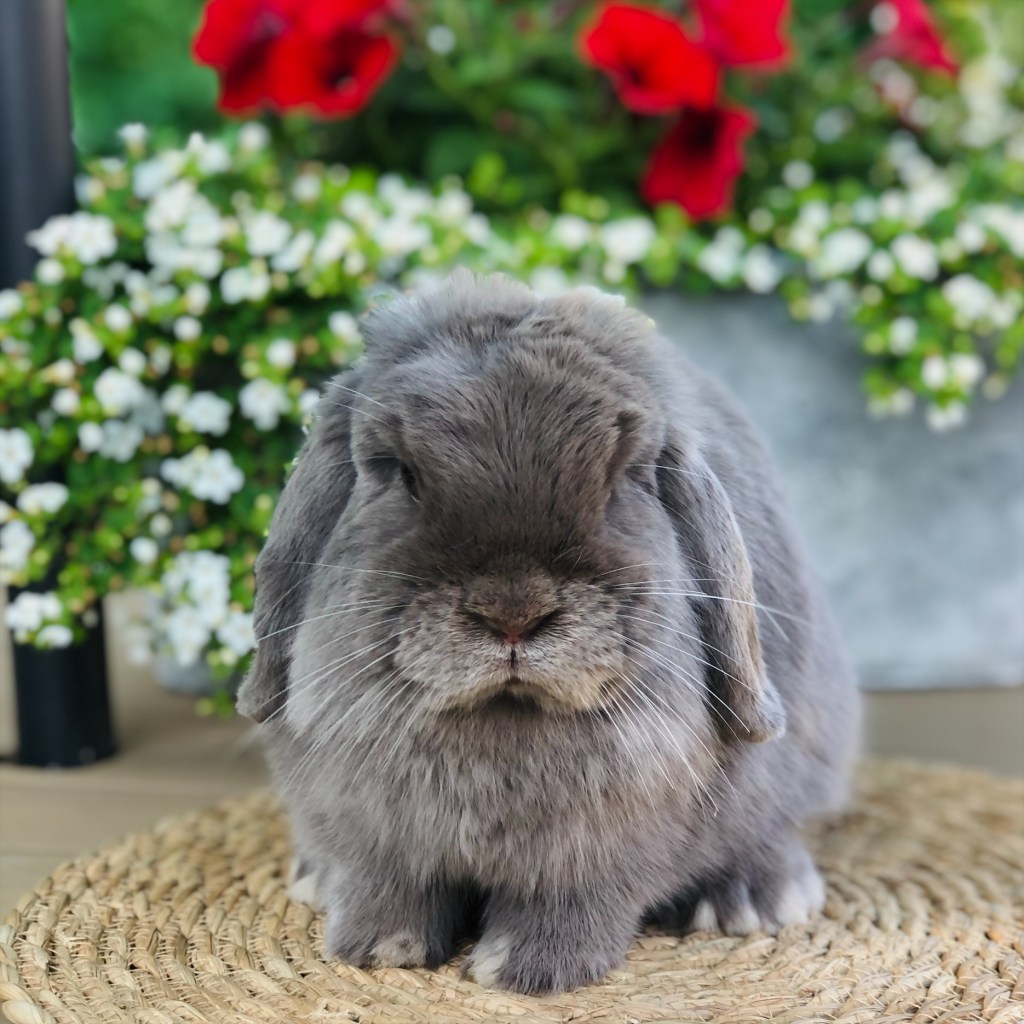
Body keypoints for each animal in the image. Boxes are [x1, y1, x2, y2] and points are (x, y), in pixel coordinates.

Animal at [238, 270, 860, 995]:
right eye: (401, 472)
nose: (514, 612)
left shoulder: (604, 845)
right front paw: (379, 949)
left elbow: (571, 901)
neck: (505, 720)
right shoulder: (375, 831)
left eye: (623, 476)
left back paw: (754, 902)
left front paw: (524, 970)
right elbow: (387, 886)